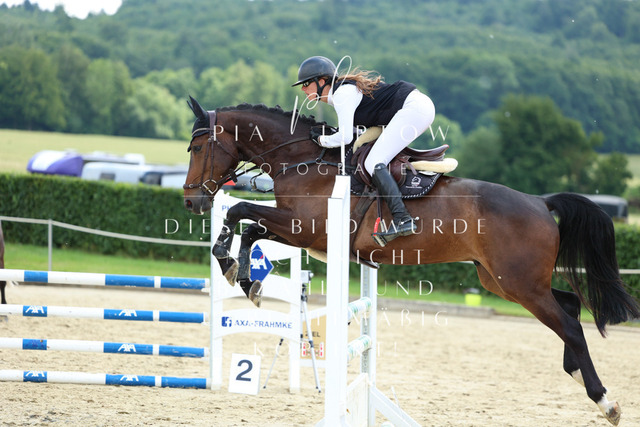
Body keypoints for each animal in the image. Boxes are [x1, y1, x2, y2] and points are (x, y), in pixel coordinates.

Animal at [182, 96, 639, 425]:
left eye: (199, 146)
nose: (190, 202)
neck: (301, 161)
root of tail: (541, 202)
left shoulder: (304, 228)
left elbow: (239, 210)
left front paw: (231, 266)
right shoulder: (299, 232)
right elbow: (248, 227)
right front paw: (245, 279)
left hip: (519, 283)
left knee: (570, 326)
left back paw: (606, 402)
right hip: (501, 281)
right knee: (571, 307)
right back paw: (577, 374)